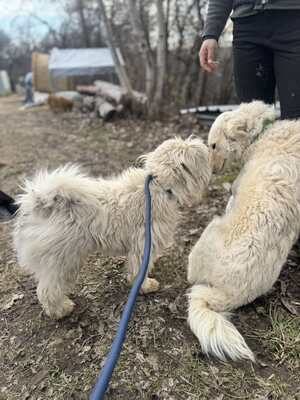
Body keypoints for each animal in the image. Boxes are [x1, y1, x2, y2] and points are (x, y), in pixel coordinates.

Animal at [12, 137, 211, 318]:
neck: (158, 185)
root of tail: (39, 203)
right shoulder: (143, 244)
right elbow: (138, 269)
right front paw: (145, 286)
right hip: (64, 261)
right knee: (47, 290)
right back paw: (61, 310)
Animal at [186, 101, 300, 362]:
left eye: (213, 145)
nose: (212, 171)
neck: (264, 131)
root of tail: (226, 295)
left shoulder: (236, 189)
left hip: (209, 231)